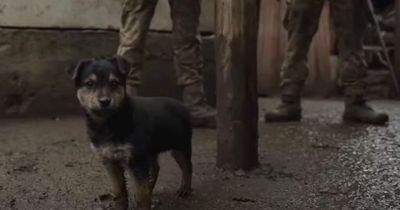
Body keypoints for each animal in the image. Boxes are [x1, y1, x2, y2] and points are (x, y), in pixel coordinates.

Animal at [68, 56, 193, 209]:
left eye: (114, 82)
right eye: (90, 83)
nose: (105, 101)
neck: (109, 122)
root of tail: (183, 106)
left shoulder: (136, 160)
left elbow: (141, 195)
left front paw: (143, 204)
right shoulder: (110, 161)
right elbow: (119, 191)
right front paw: (120, 206)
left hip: (180, 146)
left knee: (187, 167)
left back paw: (184, 189)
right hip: (151, 150)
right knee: (156, 168)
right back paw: (152, 188)